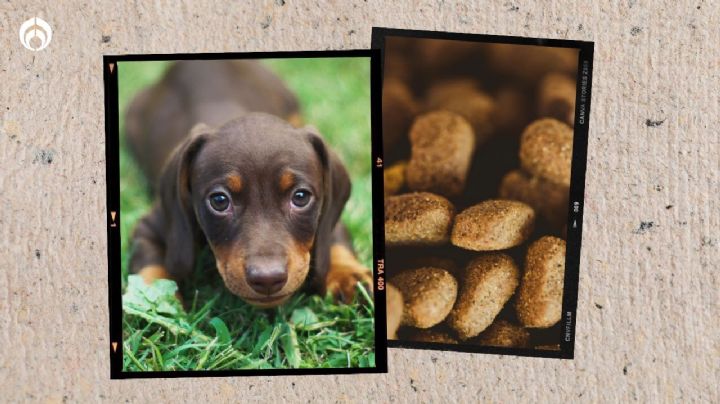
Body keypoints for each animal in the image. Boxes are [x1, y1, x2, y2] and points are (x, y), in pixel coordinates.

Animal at [125, 60, 372, 306]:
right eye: (219, 200)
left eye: (301, 197)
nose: (267, 279)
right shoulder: (150, 226)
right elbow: (149, 270)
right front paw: (154, 301)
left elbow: (336, 241)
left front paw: (350, 277)